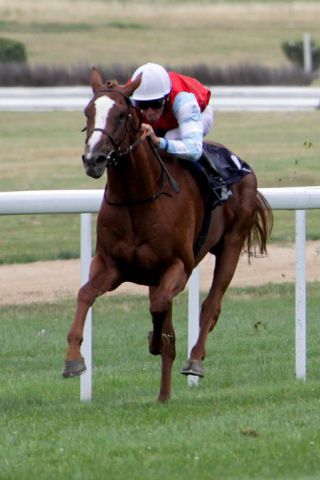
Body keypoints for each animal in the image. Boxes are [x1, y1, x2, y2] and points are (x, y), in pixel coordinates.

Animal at [63, 67, 272, 402]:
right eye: (87, 111)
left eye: (121, 114)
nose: (93, 159)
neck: (138, 197)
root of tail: (240, 164)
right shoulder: (111, 265)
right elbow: (85, 294)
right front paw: (73, 359)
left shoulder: (178, 266)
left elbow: (160, 307)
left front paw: (155, 341)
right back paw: (163, 396)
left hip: (232, 243)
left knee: (210, 306)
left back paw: (195, 360)